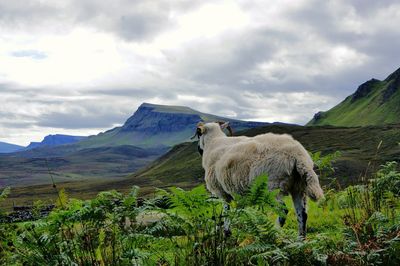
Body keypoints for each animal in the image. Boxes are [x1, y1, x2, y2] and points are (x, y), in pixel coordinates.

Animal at [195, 121, 324, 238]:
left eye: (198, 134)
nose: (199, 150)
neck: (213, 142)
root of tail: (298, 155)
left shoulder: (221, 192)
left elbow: (225, 211)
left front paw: (225, 232)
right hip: (298, 187)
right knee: (302, 214)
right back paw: (300, 240)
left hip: (273, 186)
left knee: (283, 211)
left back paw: (274, 234)